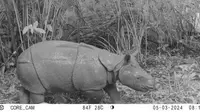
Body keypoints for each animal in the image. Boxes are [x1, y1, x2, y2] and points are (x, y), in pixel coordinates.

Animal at [16, 40, 155, 103]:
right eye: (138, 78)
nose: (152, 86)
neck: (116, 64)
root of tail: (19, 57)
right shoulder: (90, 87)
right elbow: (99, 96)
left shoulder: (109, 78)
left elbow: (114, 93)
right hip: (29, 65)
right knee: (37, 91)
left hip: (29, 66)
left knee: (29, 87)